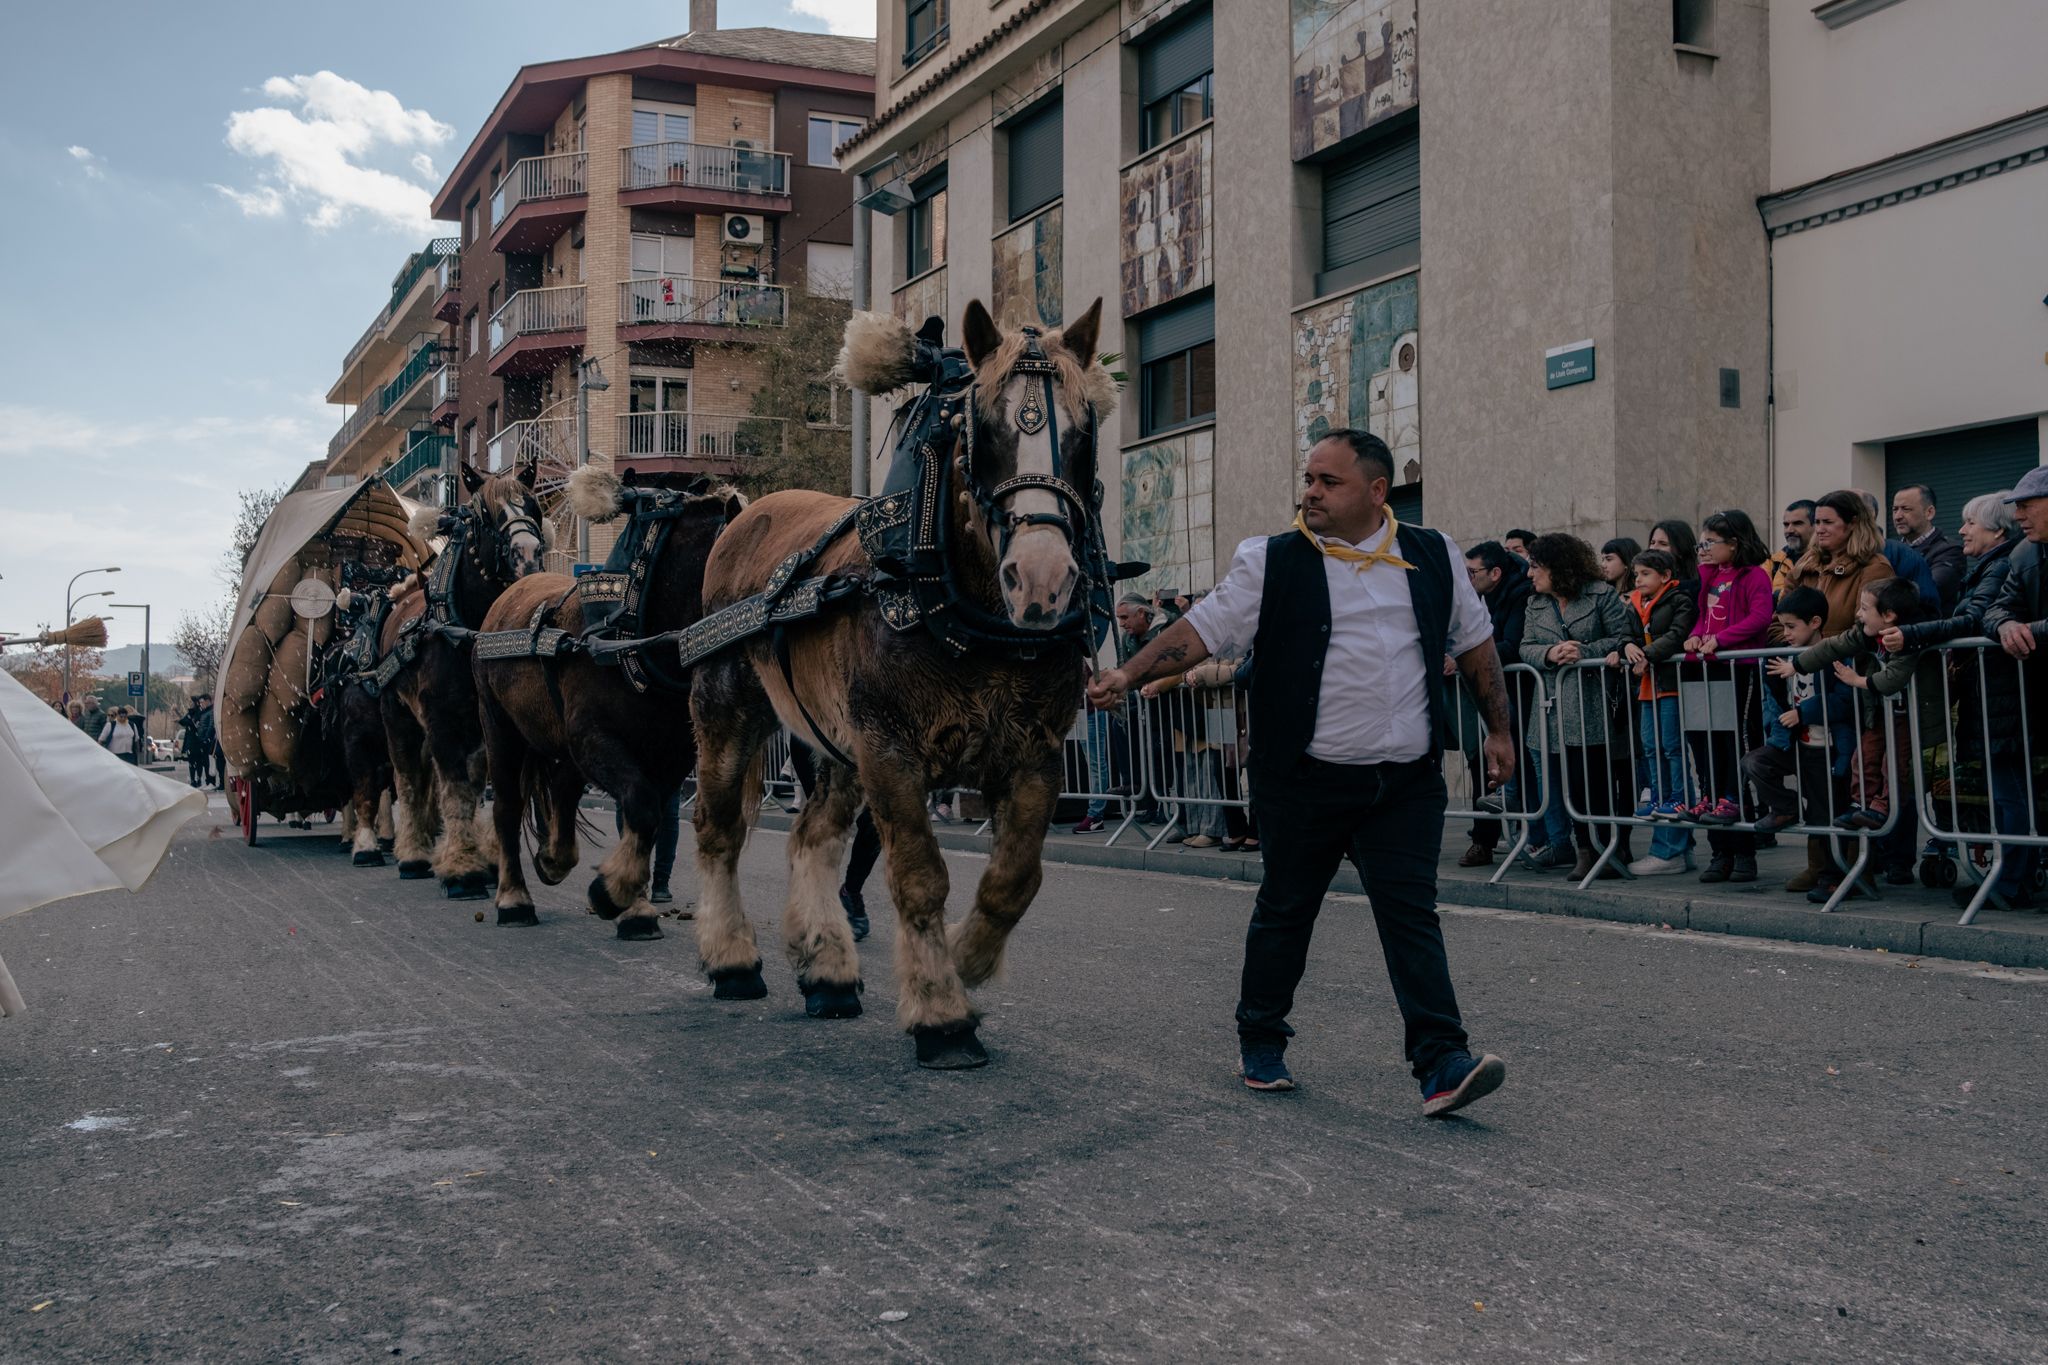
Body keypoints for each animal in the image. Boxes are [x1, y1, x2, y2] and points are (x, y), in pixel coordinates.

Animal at [378, 464, 548, 900]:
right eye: (484, 515)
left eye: (534, 507)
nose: (529, 556)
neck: (465, 631)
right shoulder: (442, 722)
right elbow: (455, 790)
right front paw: (461, 870)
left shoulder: (487, 723)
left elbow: (477, 789)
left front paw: (483, 861)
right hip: (397, 718)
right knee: (406, 778)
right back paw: (412, 854)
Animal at [473, 472, 745, 941]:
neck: (629, 635)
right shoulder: (595, 739)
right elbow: (639, 803)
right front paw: (610, 893)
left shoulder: (669, 757)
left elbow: (644, 817)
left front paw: (632, 904)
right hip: (500, 729)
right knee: (508, 805)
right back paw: (513, 898)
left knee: (563, 786)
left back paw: (554, 858)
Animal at [688, 296, 1122, 1064]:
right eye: (982, 430)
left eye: (1082, 433)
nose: (1042, 579)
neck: (965, 612)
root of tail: (746, 515)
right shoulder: (891, 750)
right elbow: (920, 876)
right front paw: (942, 1012)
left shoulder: (1035, 755)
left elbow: (1014, 879)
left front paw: (968, 959)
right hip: (728, 713)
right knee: (718, 829)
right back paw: (732, 957)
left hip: (836, 746)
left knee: (812, 836)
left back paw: (828, 969)